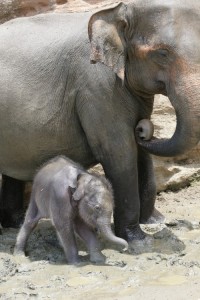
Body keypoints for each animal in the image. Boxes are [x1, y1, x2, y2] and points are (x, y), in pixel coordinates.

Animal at [0, 0, 199, 246]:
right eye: (162, 53)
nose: (143, 129)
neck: (118, 11)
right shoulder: (97, 86)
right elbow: (119, 151)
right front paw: (137, 241)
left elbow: (140, 154)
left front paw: (155, 221)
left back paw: (16, 222)